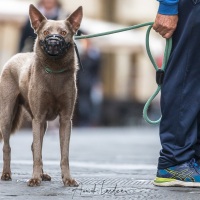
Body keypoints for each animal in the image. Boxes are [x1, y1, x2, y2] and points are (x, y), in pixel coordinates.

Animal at [0, 3, 82, 187]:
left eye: (63, 33)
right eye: (45, 32)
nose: (53, 42)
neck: (54, 71)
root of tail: (14, 57)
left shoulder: (65, 119)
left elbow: (64, 154)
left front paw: (67, 179)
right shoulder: (38, 117)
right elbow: (38, 151)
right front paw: (34, 178)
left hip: (42, 123)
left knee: (34, 146)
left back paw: (43, 174)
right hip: (8, 116)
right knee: (8, 146)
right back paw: (6, 174)